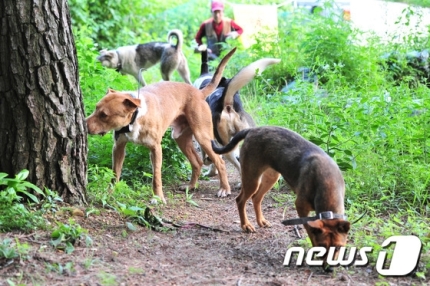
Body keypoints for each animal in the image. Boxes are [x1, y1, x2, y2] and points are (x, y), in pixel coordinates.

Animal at [85, 48, 237, 203]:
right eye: (96, 108)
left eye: (104, 115)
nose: (84, 125)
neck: (135, 118)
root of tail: (199, 93)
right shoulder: (118, 147)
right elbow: (115, 174)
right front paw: (110, 193)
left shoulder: (156, 149)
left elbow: (156, 176)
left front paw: (158, 198)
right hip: (181, 138)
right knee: (197, 162)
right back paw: (190, 186)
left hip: (203, 137)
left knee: (219, 162)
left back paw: (224, 189)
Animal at [212, 126, 350, 270]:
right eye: (322, 246)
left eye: (339, 247)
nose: (330, 269)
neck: (328, 185)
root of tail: (253, 129)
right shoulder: (301, 207)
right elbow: (310, 232)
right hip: (252, 178)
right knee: (240, 200)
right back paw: (246, 225)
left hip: (271, 177)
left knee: (256, 198)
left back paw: (261, 221)